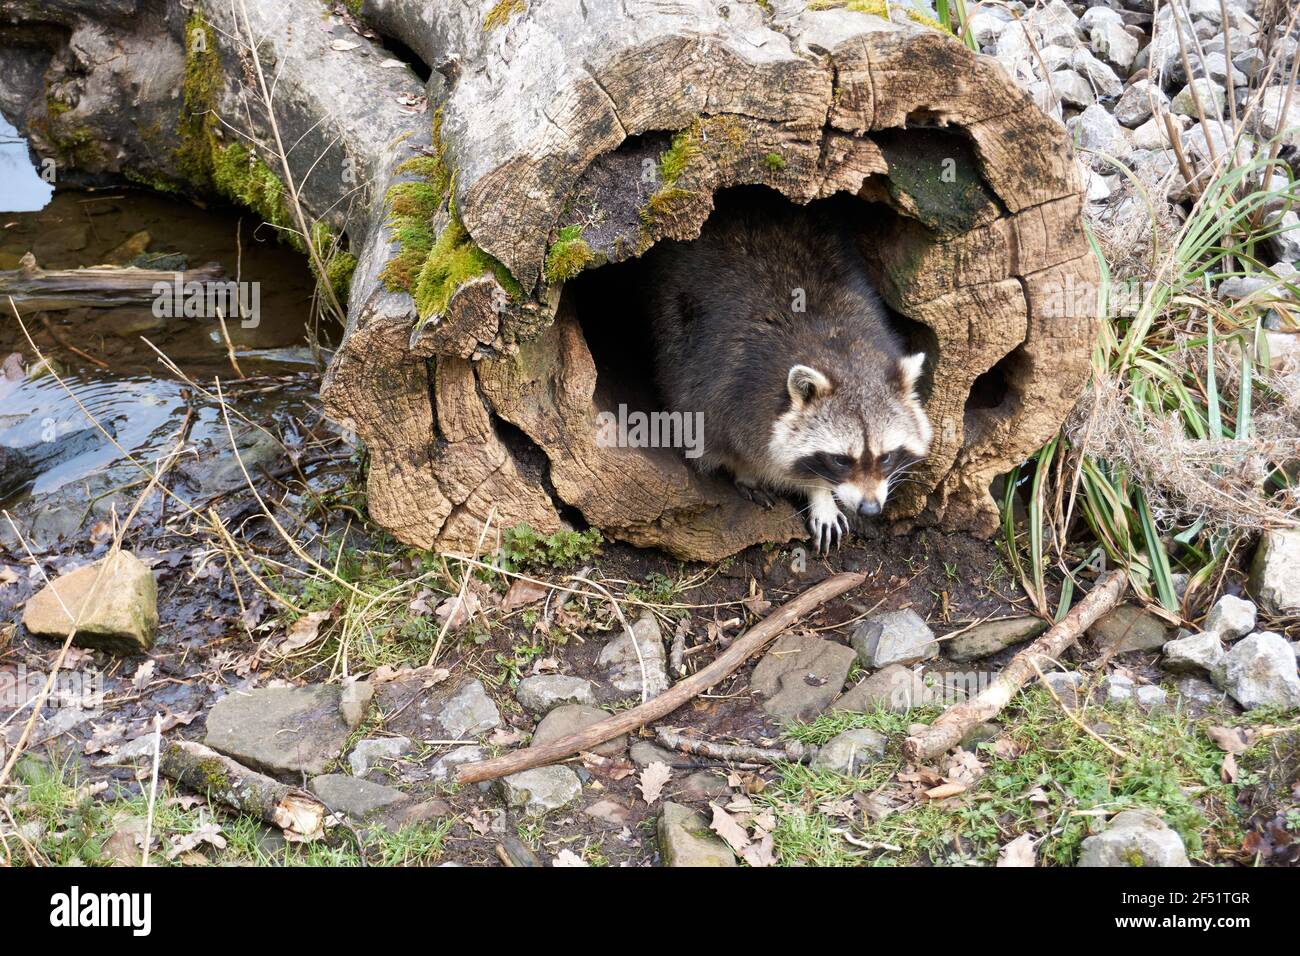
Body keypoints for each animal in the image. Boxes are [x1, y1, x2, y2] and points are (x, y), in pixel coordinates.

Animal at [645, 194, 932, 553]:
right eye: (841, 460)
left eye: (886, 457)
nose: (870, 508)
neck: (837, 348)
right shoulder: (723, 385)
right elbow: (723, 438)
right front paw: (759, 474)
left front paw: (821, 496)